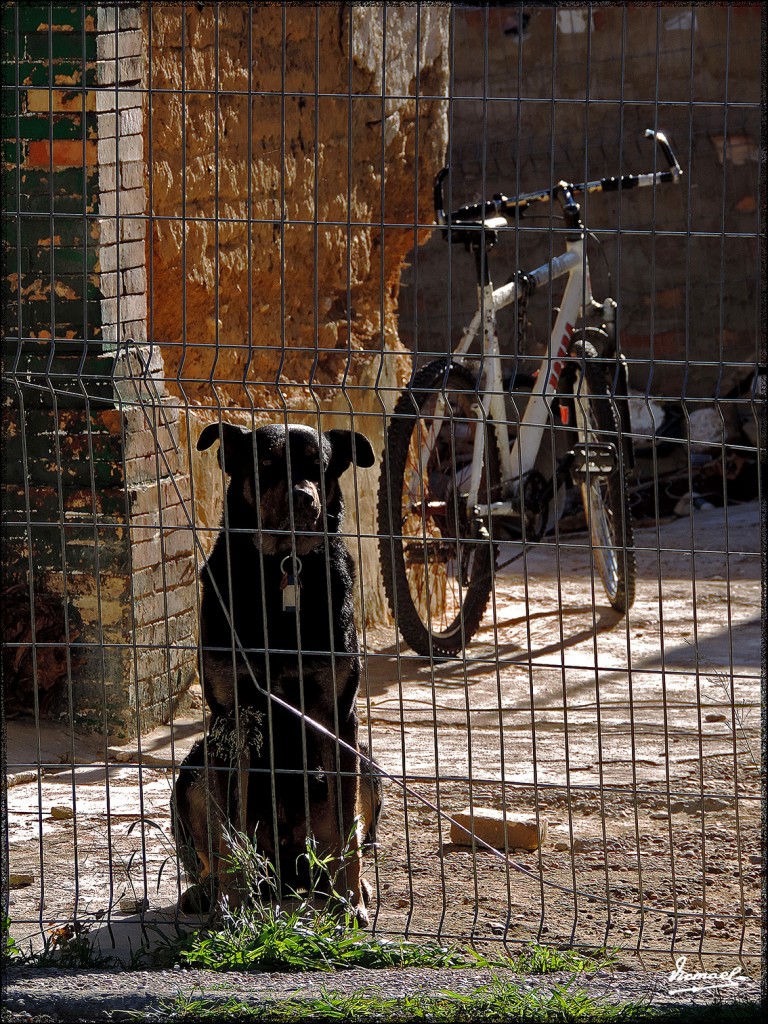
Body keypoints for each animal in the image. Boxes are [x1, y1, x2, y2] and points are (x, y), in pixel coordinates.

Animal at [173, 419, 380, 925]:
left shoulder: (336, 717)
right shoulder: (234, 720)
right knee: (213, 845)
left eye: (318, 466)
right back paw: (207, 891)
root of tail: (287, 869)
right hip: (194, 769)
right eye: (265, 463)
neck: (284, 565)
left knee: (343, 835)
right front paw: (230, 906)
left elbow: (346, 825)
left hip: (366, 765)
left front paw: (351, 900)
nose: (303, 499)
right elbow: (227, 835)